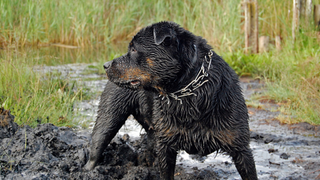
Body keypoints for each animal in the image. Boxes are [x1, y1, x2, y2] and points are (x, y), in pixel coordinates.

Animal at [84, 21, 258, 180]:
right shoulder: (166, 146)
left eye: (134, 49)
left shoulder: (241, 148)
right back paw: (88, 171)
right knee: (98, 144)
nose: (106, 65)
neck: (189, 94)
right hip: (110, 116)